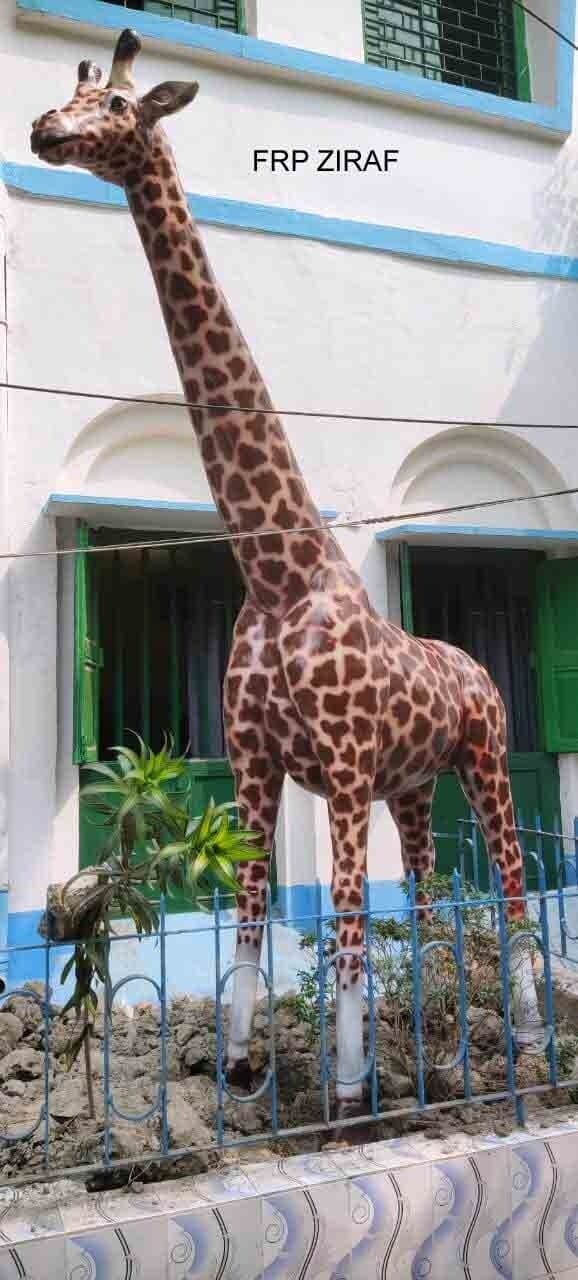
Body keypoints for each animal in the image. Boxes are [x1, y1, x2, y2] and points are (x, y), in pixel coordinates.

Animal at [31, 30, 542, 1120]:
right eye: (68, 91)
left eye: (121, 108)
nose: (44, 131)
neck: (277, 575)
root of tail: (474, 665)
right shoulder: (258, 765)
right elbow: (254, 913)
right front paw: (241, 1070)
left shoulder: (340, 768)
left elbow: (343, 918)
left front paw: (345, 1091)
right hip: (412, 786)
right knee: (425, 892)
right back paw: (432, 1041)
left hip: (480, 757)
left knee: (511, 883)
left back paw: (517, 1037)